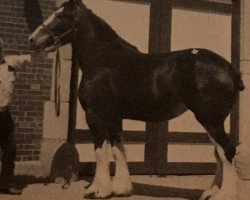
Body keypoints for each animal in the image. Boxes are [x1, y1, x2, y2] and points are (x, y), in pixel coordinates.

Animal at [28, 0, 244, 199]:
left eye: (59, 16)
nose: (31, 40)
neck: (104, 60)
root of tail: (230, 69)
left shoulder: (95, 115)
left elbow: (100, 151)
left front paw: (97, 190)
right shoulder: (114, 118)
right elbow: (118, 149)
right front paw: (120, 188)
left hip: (210, 119)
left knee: (226, 150)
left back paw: (225, 195)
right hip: (210, 121)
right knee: (219, 153)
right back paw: (211, 192)